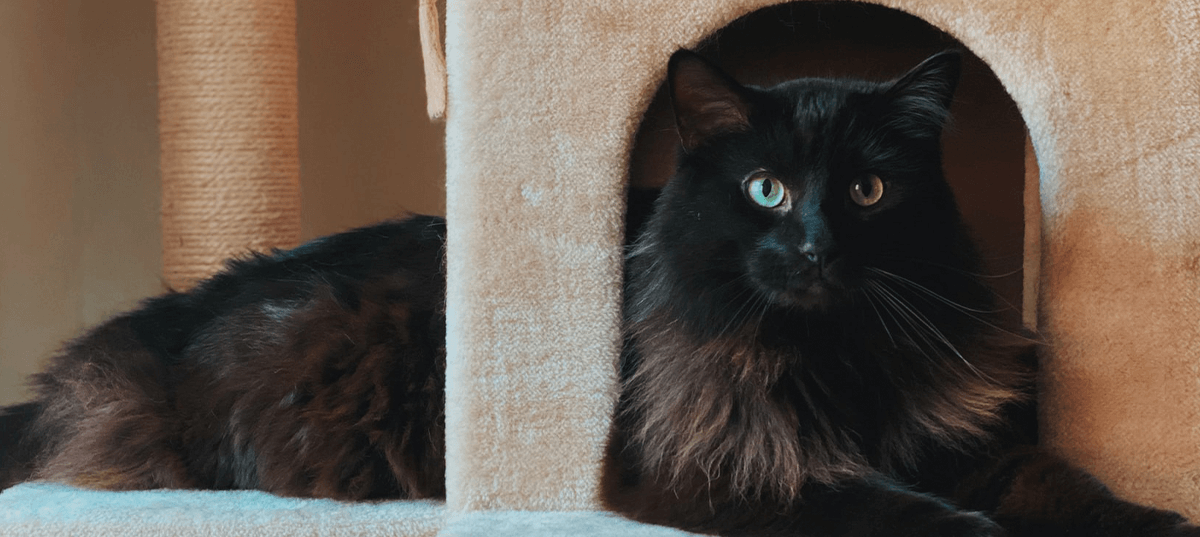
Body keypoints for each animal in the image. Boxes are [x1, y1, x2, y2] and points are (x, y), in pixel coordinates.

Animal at [0, 50, 1195, 537]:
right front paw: (970, 530)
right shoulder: (717, 462)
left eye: (867, 190)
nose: (813, 244)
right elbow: (882, 505)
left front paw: (1154, 517)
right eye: (766, 189)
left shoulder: (959, 434)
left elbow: (1063, 481)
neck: (836, 359)